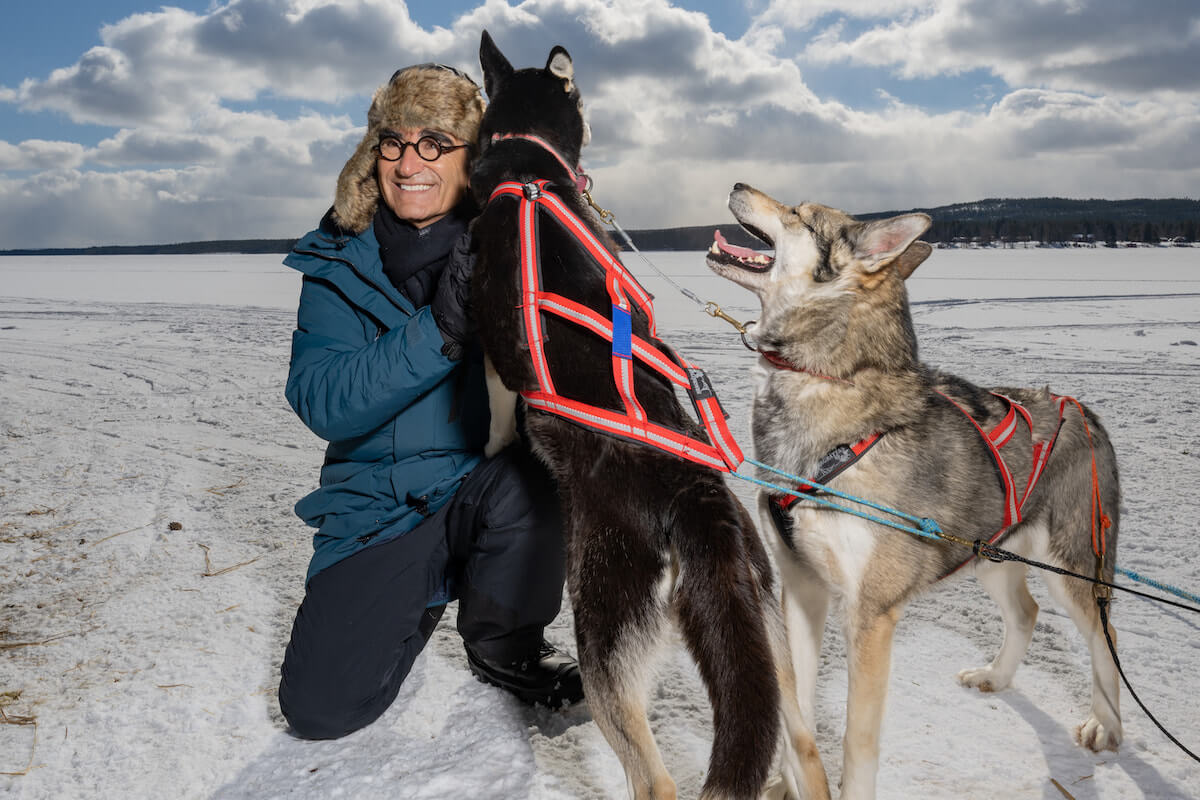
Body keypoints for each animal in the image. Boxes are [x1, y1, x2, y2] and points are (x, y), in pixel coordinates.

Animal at [468, 32, 835, 800]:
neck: (528, 172)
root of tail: (696, 500)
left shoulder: (489, 347)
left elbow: (493, 411)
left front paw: (488, 448)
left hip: (604, 636)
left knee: (656, 780)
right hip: (763, 629)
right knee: (801, 748)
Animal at [705, 183, 1118, 800]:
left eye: (800, 213)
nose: (736, 184)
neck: (827, 385)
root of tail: (1085, 412)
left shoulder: (871, 614)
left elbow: (857, 740)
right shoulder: (801, 586)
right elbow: (796, 706)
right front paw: (789, 780)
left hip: (1073, 570)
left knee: (1102, 639)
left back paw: (1105, 725)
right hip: (990, 555)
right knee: (1025, 612)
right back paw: (995, 676)